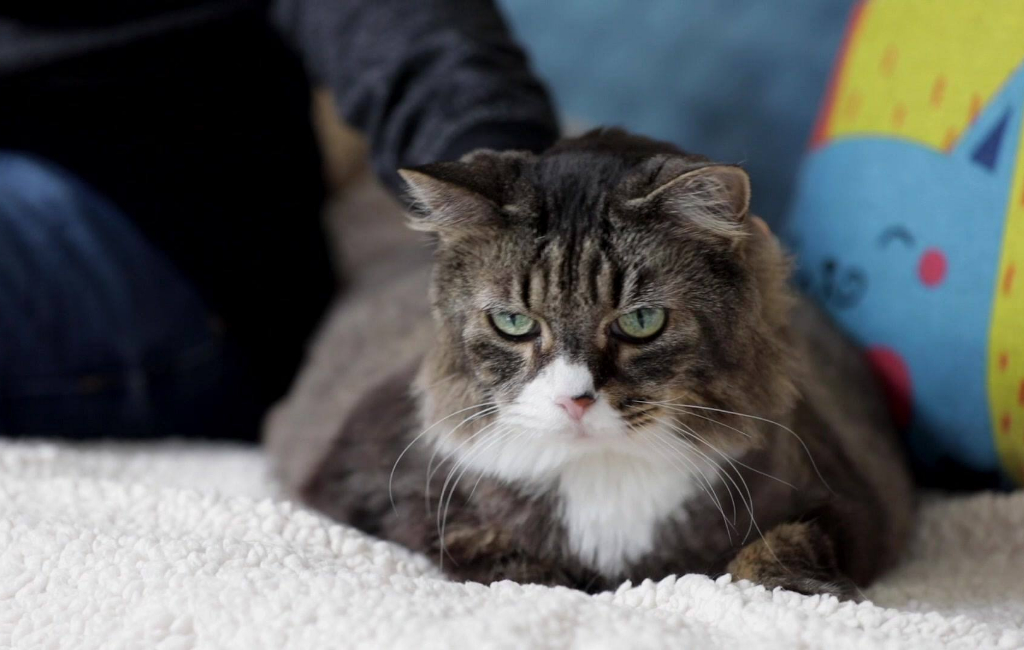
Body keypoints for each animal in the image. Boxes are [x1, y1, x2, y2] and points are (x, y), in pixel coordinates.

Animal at [292, 128, 917, 601]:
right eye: (513, 322)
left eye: (641, 321)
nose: (575, 399)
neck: (603, 473)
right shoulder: (373, 484)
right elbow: (493, 549)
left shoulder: (856, 500)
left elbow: (781, 545)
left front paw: (801, 588)